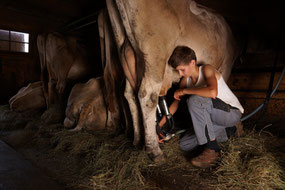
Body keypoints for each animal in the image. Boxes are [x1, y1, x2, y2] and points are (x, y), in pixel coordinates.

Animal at [105, 0, 237, 162]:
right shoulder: (225, 67)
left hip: (126, 55)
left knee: (130, 95)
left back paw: (137, 140)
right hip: (155, 53)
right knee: (147, 96)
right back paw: (154, 151)